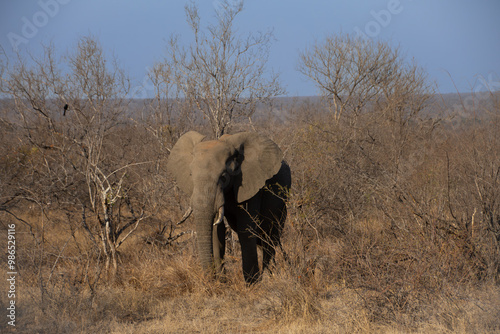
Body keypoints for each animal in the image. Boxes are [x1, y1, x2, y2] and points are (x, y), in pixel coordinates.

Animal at [167, 132, 290, 284]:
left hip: (283, 203)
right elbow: (216, 231)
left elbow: (245, 229)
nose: (209, 279)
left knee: (270, 236)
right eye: (191, 175)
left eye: (224, 177)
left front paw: (251, 284)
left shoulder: (251, 186)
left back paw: (267, 277)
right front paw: (222, 282)